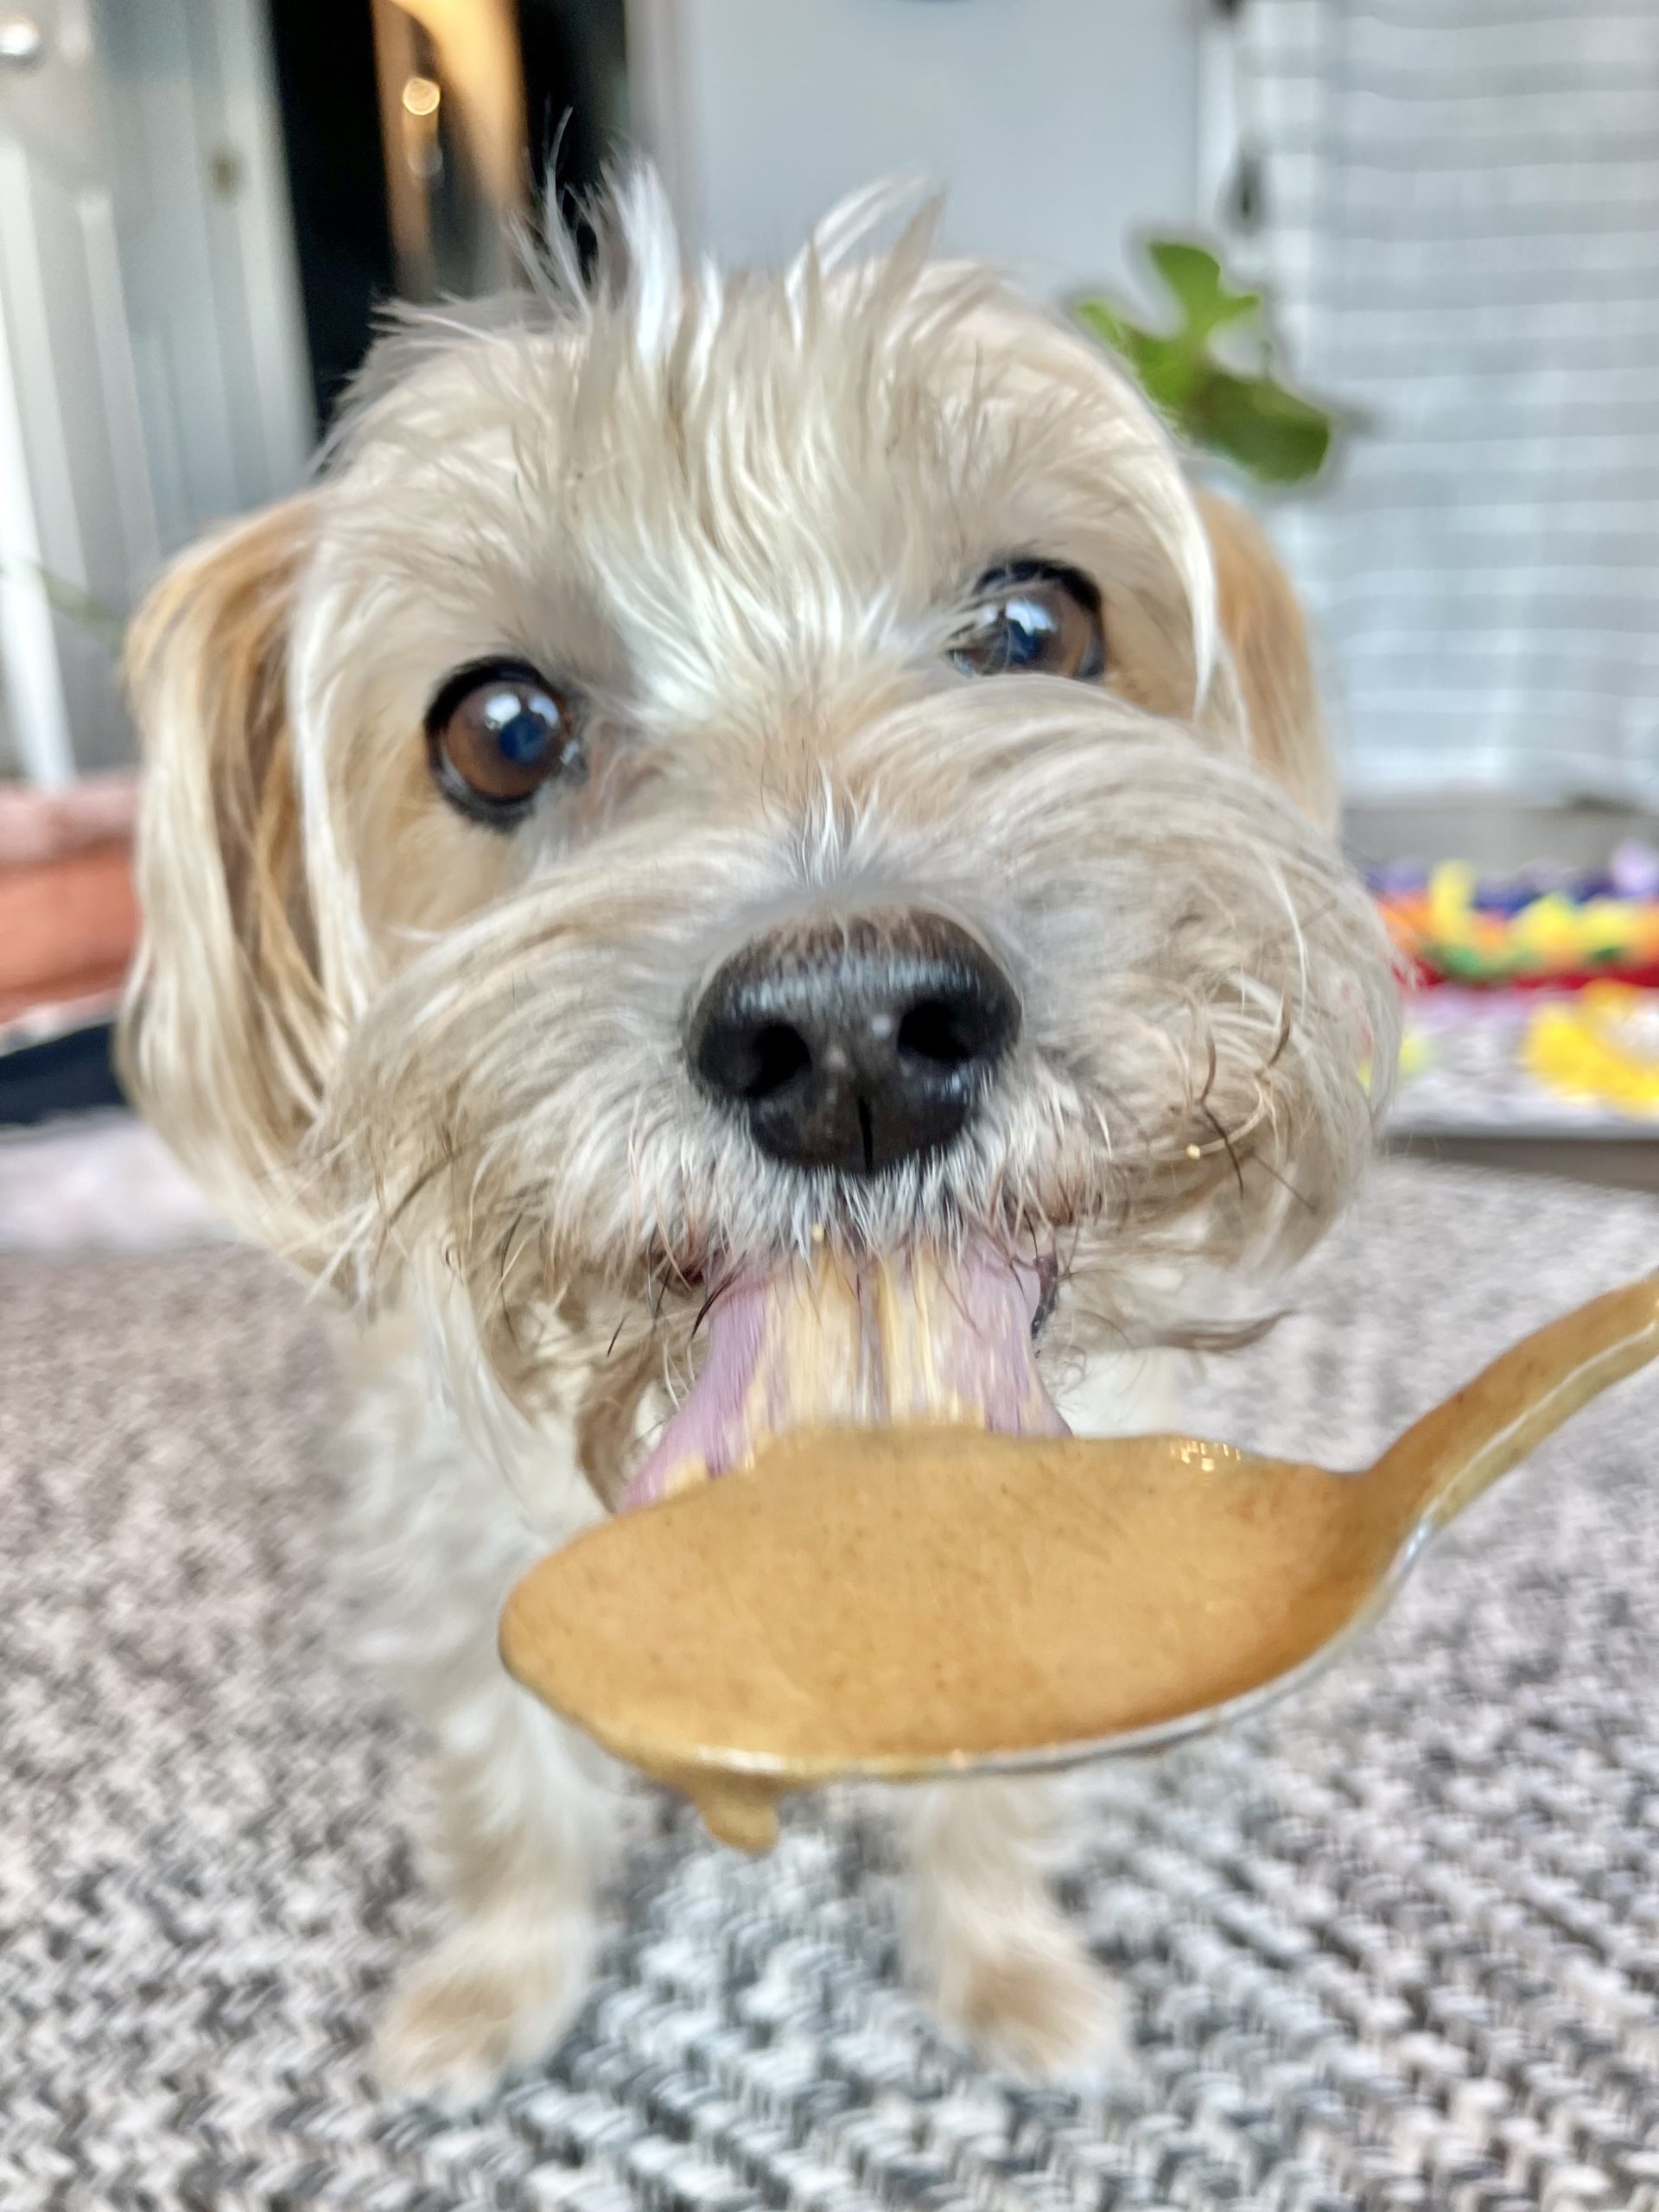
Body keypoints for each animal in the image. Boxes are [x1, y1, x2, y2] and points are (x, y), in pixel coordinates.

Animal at [113, 181, 1407, 2096]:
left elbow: (999, 1793)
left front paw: (1010, 1971)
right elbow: (508, 1785)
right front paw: (490, 1987)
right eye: (501, 731)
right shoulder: (463, 1544)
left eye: (1037, 629)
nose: (853, 1037)